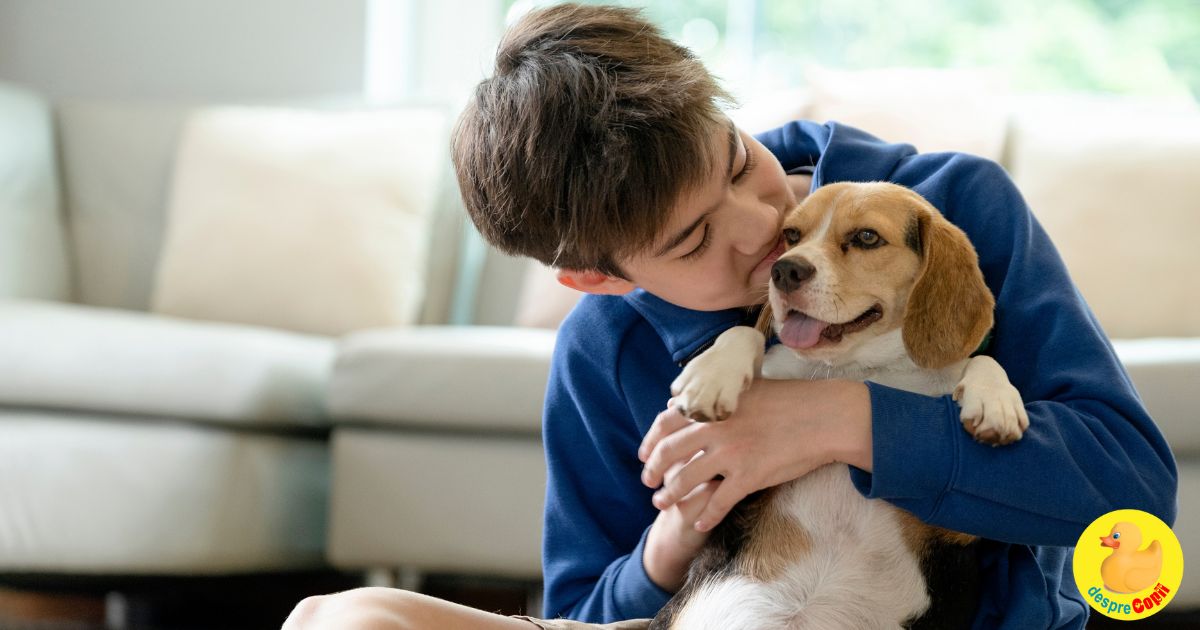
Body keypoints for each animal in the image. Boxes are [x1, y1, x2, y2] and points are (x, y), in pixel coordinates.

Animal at [648, 178, 1032, 624]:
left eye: (867, 237)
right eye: (791, 235)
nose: (784, 270)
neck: (860, 368)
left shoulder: (955, 528)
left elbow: (982, 359)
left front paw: (996, 403)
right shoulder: (730, 489)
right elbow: (746, 334)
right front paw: (711, 375)